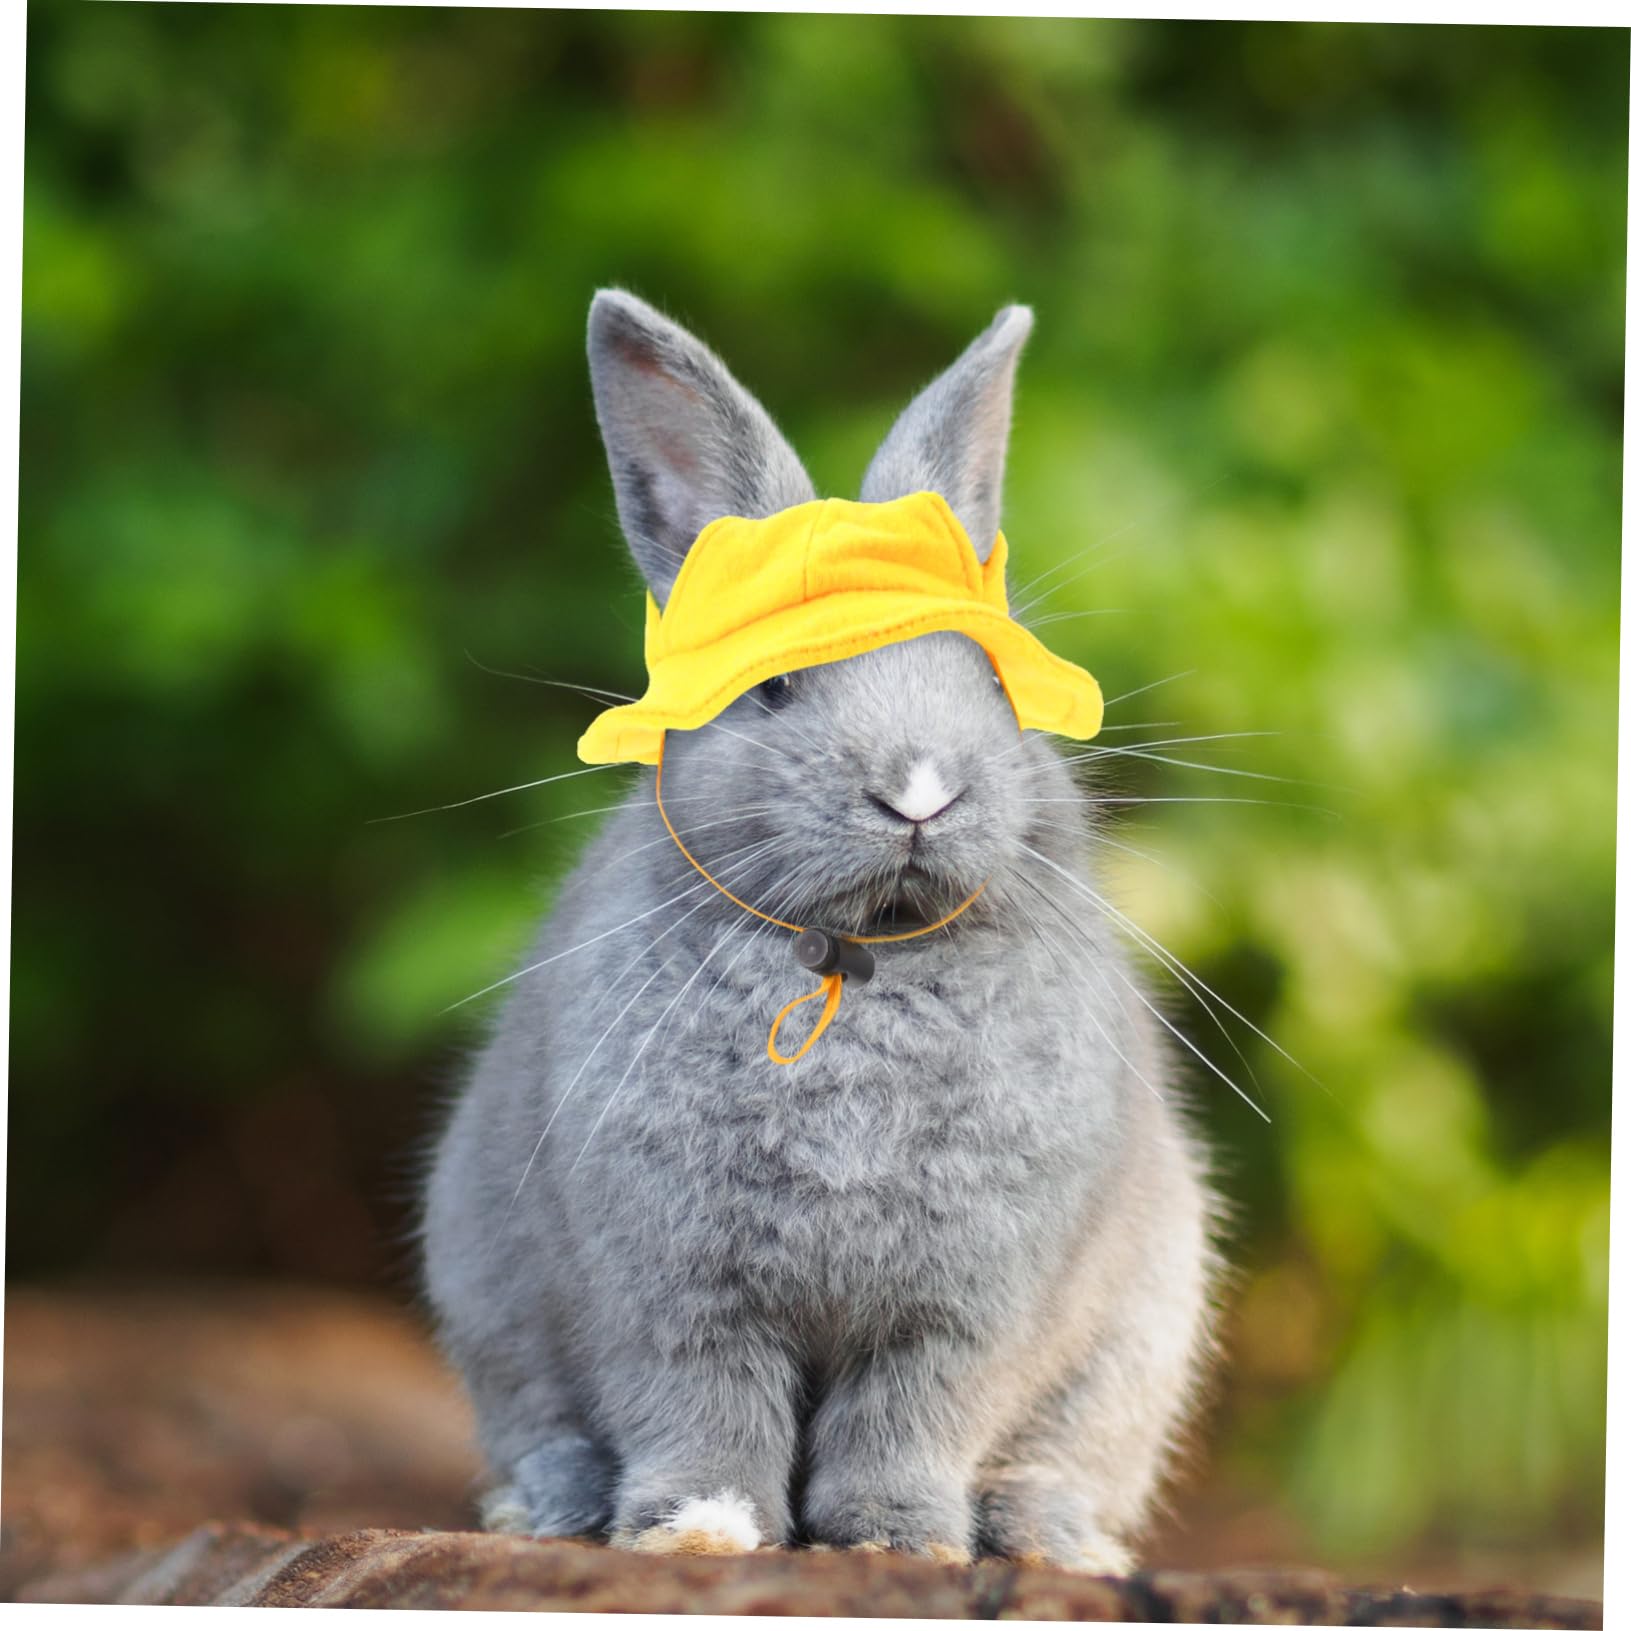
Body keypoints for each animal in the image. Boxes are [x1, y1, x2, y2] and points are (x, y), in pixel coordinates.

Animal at [420, 289, 1220, 1571]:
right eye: (775, 689)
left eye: (988, 684)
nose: (917, 790)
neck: (860, 960)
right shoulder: (675, 1289)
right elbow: (701, 1406)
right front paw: (699, 1531)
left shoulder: (961, 1310)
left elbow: (910, 1416)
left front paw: (895, 1542)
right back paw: (545, 1508)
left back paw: (1054, 1541)